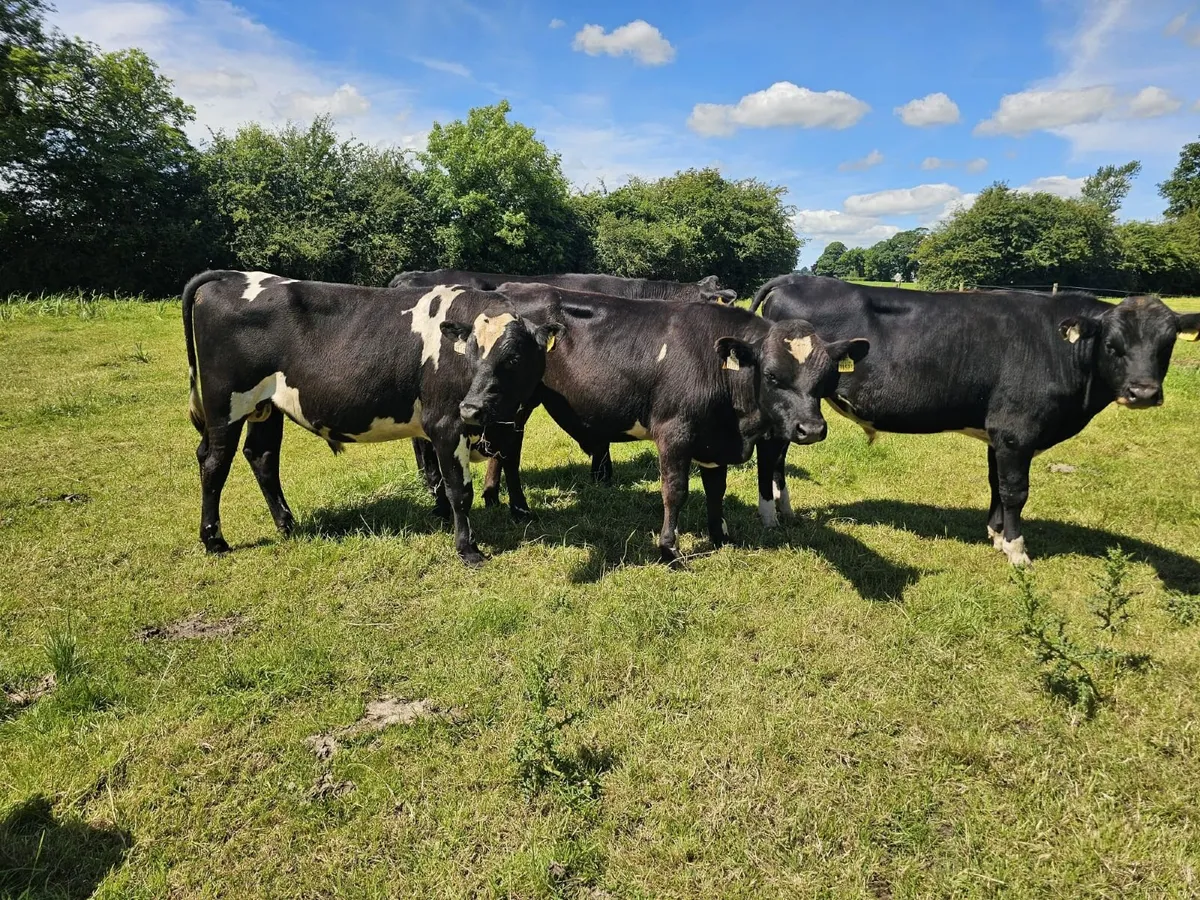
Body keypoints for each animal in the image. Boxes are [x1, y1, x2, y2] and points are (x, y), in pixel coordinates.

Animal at [182, 270, 563, 566]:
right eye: (469, 353)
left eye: (513, 358)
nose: (471, 408)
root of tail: (231, 275)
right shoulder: (445, 423)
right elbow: (459, 490)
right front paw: (467, 549)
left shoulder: (511, 422)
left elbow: (506, 464)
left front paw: (518, 512)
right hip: (224, 404)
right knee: (214, 463)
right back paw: (215, 540)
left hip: (266, 407)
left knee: (261, 456)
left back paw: (287, 524)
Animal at [419, 281, 868, 565]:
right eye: (772, 375)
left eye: (827, 377)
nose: (812, 430)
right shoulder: (674, 432)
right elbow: (675, 492)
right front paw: (670, 551)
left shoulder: (714, 439)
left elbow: (716, 489)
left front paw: (720, 536)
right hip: (519, 402)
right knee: (508, 451)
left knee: (506, 450)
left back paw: (504, 501)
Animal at [751, 275, 1200, 565]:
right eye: (1112, 344)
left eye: (1167, 344)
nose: (1143, 392)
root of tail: (796, 278)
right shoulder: (1018, 433)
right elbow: (1016, 491)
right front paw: (1017, 550)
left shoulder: (999, 434)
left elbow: (997, 485)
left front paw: (996, 534)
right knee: (771, 452)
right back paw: (771, 516)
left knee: (779, 456)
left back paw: (786, 509)